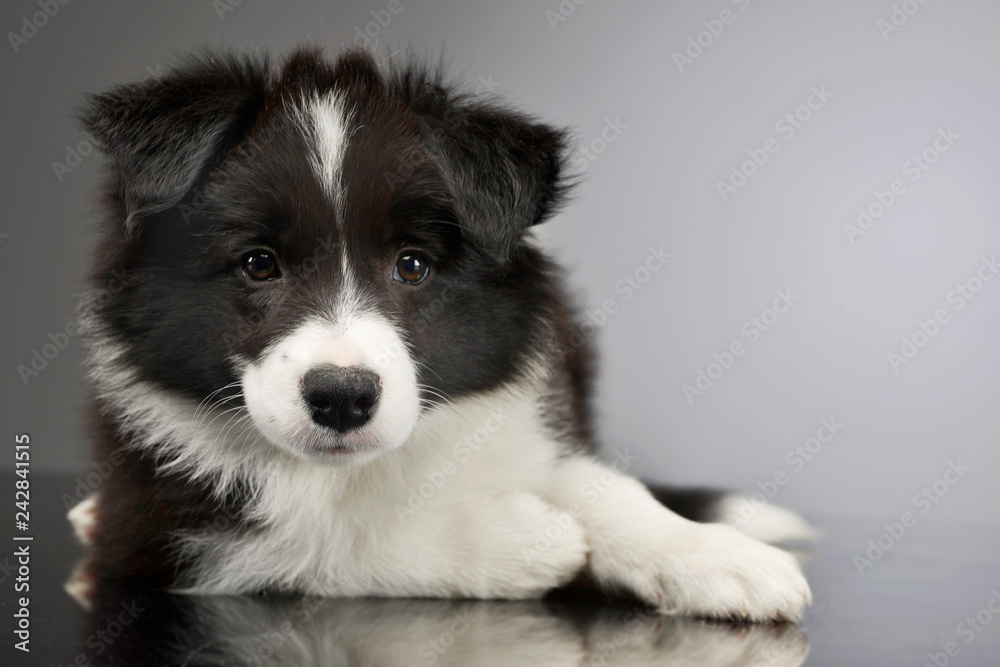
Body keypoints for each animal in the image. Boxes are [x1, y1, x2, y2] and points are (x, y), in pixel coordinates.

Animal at [70, 45, 816, 620]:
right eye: (259, 263)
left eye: (413, 264)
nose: (341, 397)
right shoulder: (155, 524)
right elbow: (326, 539)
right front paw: (528, 541)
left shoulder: (526, 422)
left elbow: (601, 483)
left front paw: (714, 555)